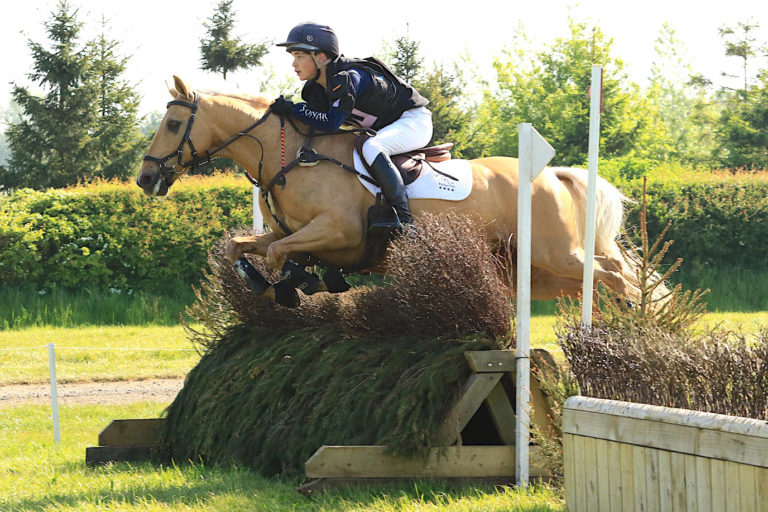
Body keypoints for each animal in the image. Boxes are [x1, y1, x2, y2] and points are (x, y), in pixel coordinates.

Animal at [137, 76, 643, 306]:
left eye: (174, 124)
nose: (145, 179)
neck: (293, 157)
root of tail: (552, 174)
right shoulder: (286, 232)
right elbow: (246, 246)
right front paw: (262, 278)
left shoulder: (340, 232)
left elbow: (283, 255)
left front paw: (295, 284)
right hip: (533, 267)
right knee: (607, 271)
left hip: (553, 253)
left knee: (615, 272)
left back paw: (633, 314)